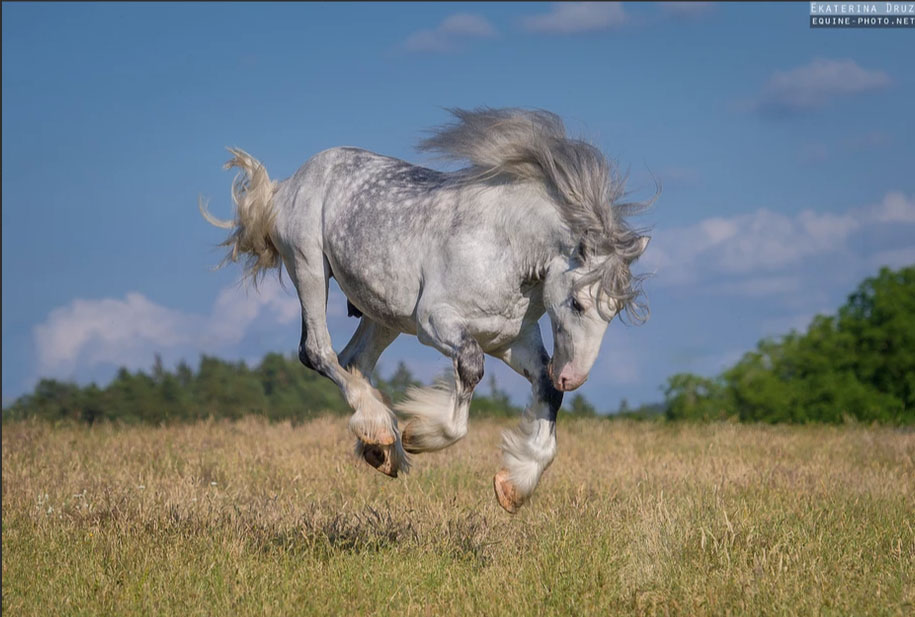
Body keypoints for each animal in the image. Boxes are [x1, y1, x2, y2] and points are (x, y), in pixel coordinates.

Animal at [202, 107, 652, 510]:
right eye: (577, 302)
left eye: (613, 312)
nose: (573, 377)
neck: (506, 245)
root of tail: (286, 185)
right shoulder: (437, 323)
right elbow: (470, 372)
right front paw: (419, 434)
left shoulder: (511, 341)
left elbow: (546, 390)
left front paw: (514, 484)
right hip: (309, 268)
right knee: (317, 351)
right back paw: (381, 427)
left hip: (382, 313)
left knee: (354, 360)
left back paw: (380, 449)